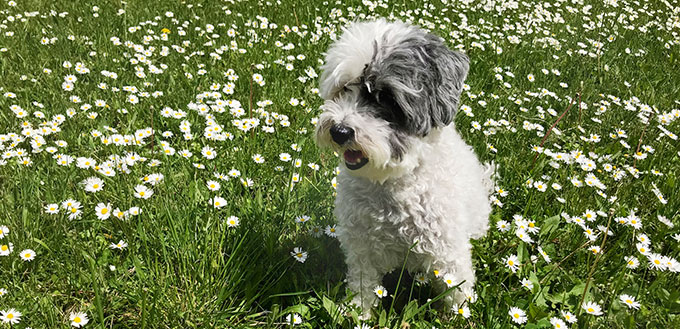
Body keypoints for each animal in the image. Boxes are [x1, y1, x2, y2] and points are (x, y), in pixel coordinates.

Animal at [314, 18, 494, 316]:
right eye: (344, 89)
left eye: (386, 98)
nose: (339, 131)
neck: (391, 180)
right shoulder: (362, 248)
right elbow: (364, 284)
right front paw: (359, 313)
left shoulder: (448, 249)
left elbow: (456, 286)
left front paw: (458, 315)